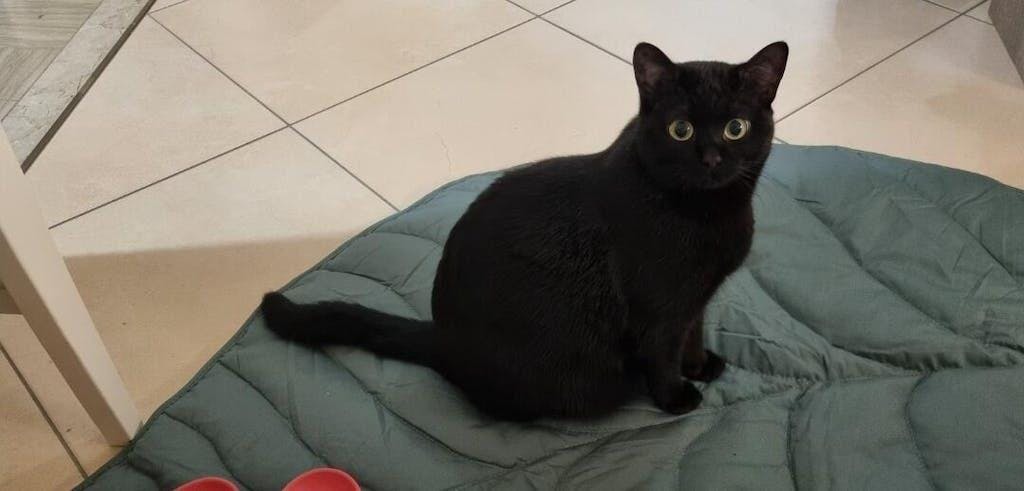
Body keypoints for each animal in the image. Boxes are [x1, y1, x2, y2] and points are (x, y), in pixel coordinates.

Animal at [260, 41, 788, 420]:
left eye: (736, 128)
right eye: (681, 130)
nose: (712, 158)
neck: (707, 213)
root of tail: (444, 340)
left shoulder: (695, 298)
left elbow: (692, 333)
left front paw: (700, 366)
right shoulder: (657, 308)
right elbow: (662, 354)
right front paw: (676, 396)